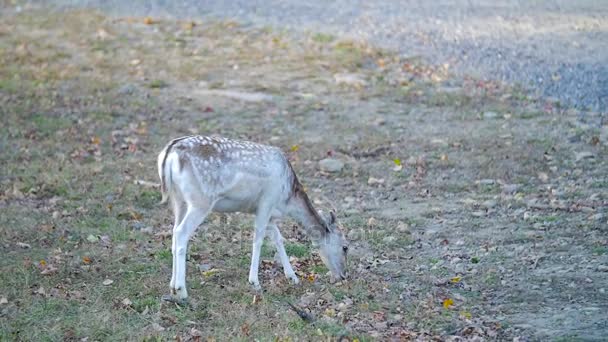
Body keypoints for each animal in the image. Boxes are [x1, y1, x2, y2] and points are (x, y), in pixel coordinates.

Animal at [157, 135, 346, 300]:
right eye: (345, 247)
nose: (344, 276)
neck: (285, 200)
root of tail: (170, 153)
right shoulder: (266, 202)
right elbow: (258, 240)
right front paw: (255, 282)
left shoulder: (268, 212)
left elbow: (278, 239)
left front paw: (293, 277)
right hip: (200, 201)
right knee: (181, 232)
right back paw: (181, 290)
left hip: (178, 200)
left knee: (174, 232)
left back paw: (172, 286)